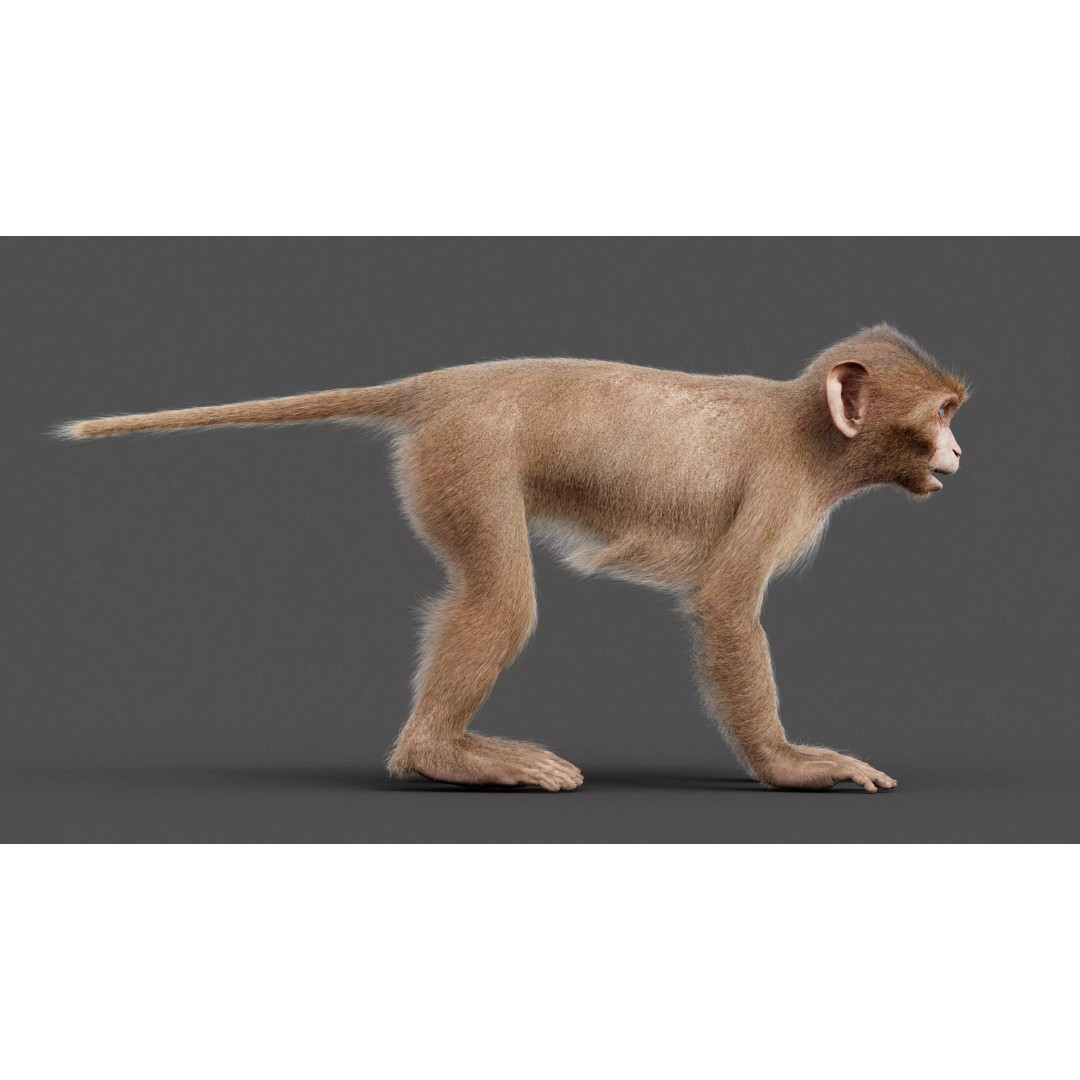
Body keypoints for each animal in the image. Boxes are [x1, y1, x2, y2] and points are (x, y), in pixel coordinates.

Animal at [58, 324, 967, 794]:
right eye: (943, 413)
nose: (959, 451)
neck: (811, 432)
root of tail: (442, 383)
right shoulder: (782, 485)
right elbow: (724, 605)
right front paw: (788, 767)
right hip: (468, 451)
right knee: (501, 600)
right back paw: (440, 755)